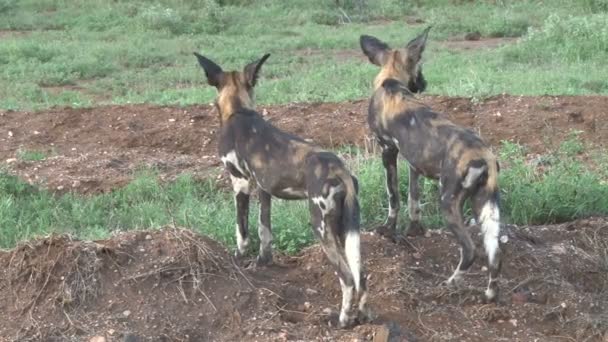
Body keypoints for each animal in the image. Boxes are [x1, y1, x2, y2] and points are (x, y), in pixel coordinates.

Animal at [195, 52, 370, 328]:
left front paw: (238, 259)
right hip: (345, 226)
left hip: (320, 225)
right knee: (362, 275)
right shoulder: (264, 190)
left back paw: (342, 319)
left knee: (348, 278)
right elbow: (264, 231)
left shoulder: (240, 183)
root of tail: (339, 167)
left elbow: (241, 231)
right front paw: (262, 262)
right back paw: (362, 316)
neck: (238, 110)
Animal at [358, 28, 502, 302]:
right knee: (495, 253)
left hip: (448, 202)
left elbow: (393, 197)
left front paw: (388, 230)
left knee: (470, 251)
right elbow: (414, 200)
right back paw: (489, 294)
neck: (391, 81)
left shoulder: (388, 151)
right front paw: (414, 230)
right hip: (485, 204)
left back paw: (449, 284)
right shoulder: (415, 164)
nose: (424, 84)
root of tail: (484, 156)